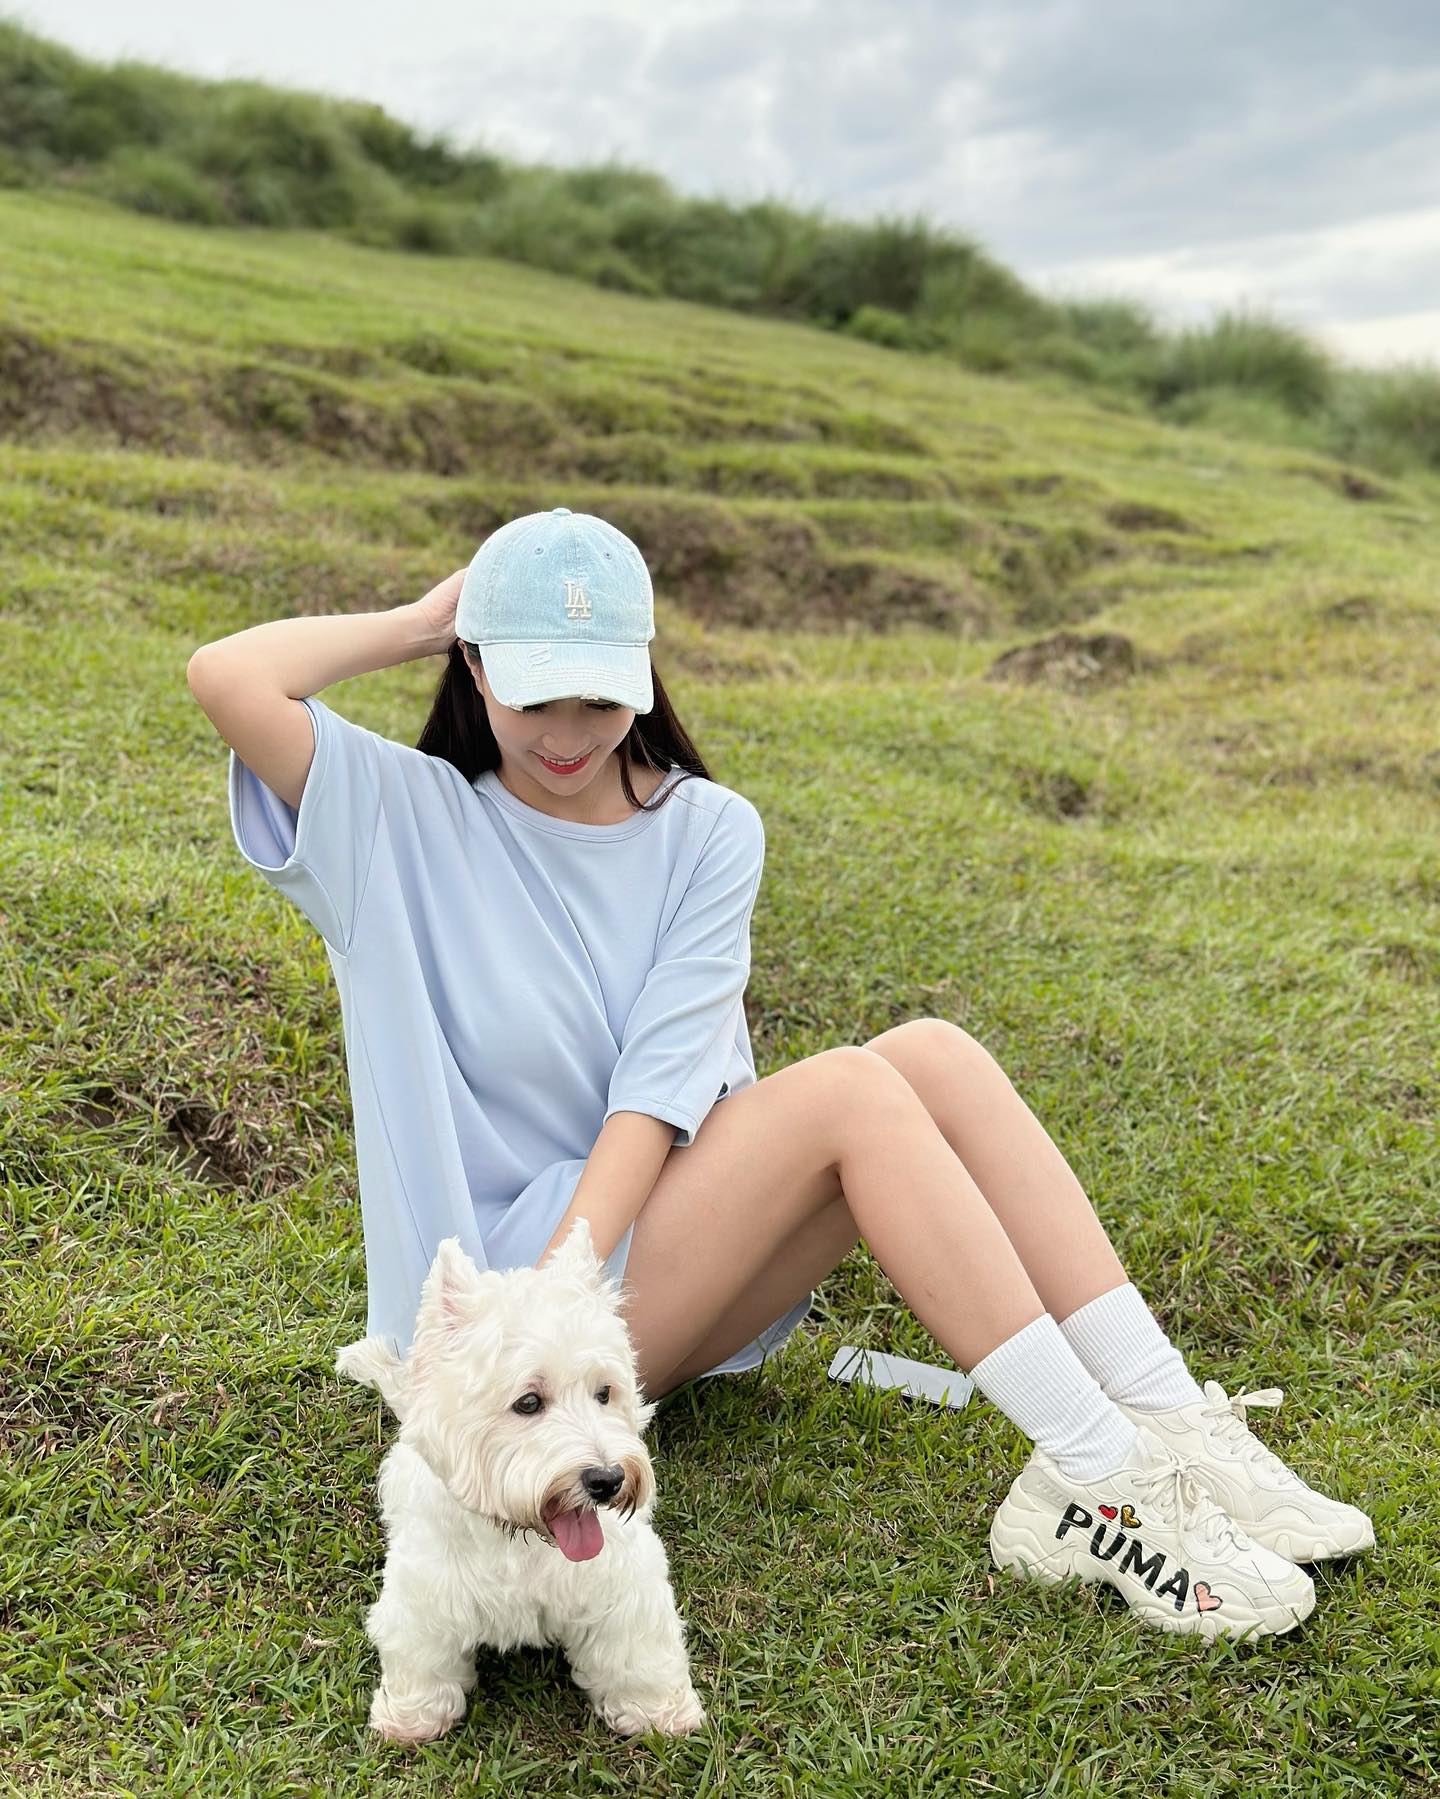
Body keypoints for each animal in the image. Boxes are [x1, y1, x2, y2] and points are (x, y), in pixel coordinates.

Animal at [334, 1218, 706, 1741]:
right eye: (528, 1402)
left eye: (604, 1393)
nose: (608, 1480)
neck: (524, 1538)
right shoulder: (426, 1596)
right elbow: (423, 1658)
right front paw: (413, 1719)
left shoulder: (622, 1585)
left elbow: (638, 1651)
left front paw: (656, 1712)